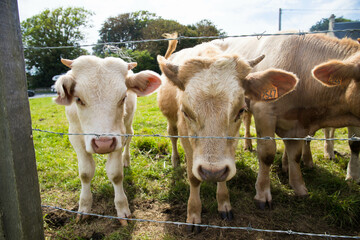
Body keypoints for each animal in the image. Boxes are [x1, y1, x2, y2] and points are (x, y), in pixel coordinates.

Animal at [53, 54, 160, 225]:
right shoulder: (75, 137)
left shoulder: (118, 137)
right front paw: (84, 207)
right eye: (78, 99)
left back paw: (126, 160)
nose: (103, 144)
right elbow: (85, 173)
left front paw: (122, 209)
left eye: (123, 97)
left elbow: (116, 174)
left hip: (128, 125)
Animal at [157, 33, 298, 231]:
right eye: (185, 112)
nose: (211, 172)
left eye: (240, 110)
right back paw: (176, 160)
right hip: (170, 120)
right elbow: (193, 177)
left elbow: (223, 176)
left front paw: (224, 203)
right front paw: (193, 213)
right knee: (172, 135)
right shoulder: (186, 137)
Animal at [211, 33, 360, 208]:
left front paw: (299, 187)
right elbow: (267, 154)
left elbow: (295, 155)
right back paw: (247, 145)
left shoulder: (298, 125)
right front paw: (262, 193)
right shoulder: (264, 112)